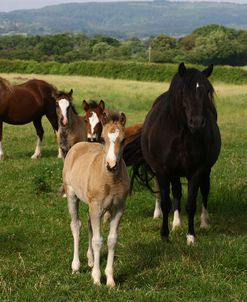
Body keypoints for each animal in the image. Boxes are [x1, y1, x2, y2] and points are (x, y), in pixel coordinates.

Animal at [63, 111, 129, 288]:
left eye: (123, 140)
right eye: (103, 139)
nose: (111, 165)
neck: (110, 180)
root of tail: (79, 145)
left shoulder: (118, 209)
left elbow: (112, 240)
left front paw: (111, 280)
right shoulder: (97, 207)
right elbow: (98, 241)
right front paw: (97, 278)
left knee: (88, 224)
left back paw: (91, 260)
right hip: (72, 196)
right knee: (76, 225)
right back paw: (76, 266)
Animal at [140, 62, 221, 244]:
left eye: (207, 91)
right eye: (184, 91)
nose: (197, 122)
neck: (182, 133)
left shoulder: (197, 171)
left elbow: (191, 204)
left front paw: (191, 237)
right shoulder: (163, 171)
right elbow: (166, 203)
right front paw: (164, 234)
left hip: (205, 171)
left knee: (205, 190)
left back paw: (204, 222)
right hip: (174, 173)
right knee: (176, 192)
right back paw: (176, 223)